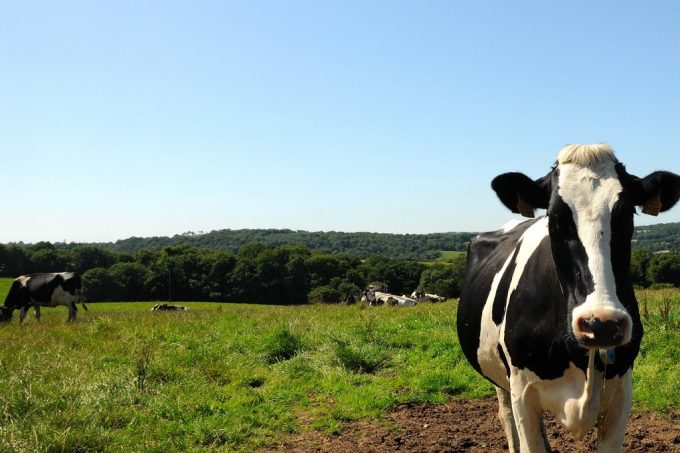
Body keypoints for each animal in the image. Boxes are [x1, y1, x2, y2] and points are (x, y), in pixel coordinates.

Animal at [457, 144, 680, 452]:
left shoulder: (622, 393)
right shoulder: (522, 392)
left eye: (627, 216)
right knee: (506, 415)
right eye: (554, 218)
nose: (601, 324)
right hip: (500, 378)